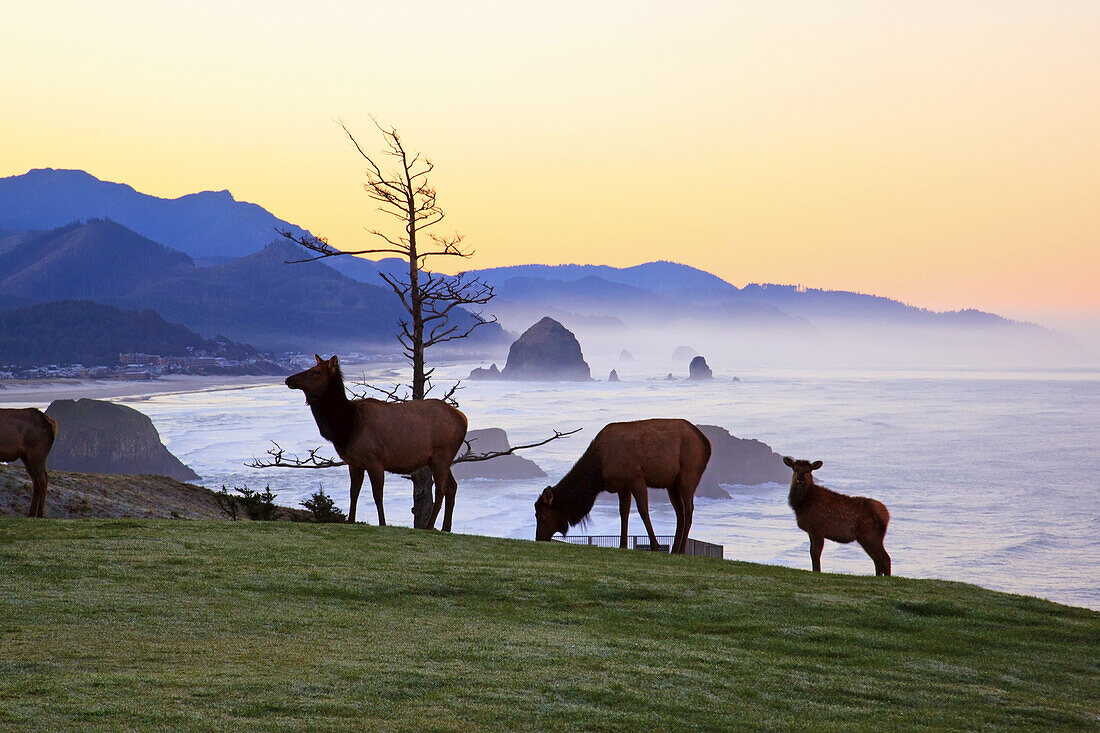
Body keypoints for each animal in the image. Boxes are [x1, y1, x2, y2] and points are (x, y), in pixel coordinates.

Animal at [283, 352, 468, 526]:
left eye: (316, 371)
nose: (288, 379)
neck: (347, 428)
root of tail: (463, 419)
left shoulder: (375, 460)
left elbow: (377, 495)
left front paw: (383, 523)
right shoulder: (354, 463)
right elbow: (353, 493)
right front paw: (351, 521)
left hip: (441, 454)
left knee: (441, 489)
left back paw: (429, 526)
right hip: (441, 459)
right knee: (452, 486)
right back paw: (446, 528)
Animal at [534, 416, 712, 554]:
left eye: (542, 516)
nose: (538, 539)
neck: (598, 471)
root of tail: (706, 443)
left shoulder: (635, 477)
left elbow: (643, 510)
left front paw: (655, 546)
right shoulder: (622, 486)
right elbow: (623, 512)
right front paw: (623, 545)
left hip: (688, 474)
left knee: (689, 510)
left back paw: (681, 550)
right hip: (672, 484)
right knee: (680, 513)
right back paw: (675, 550)